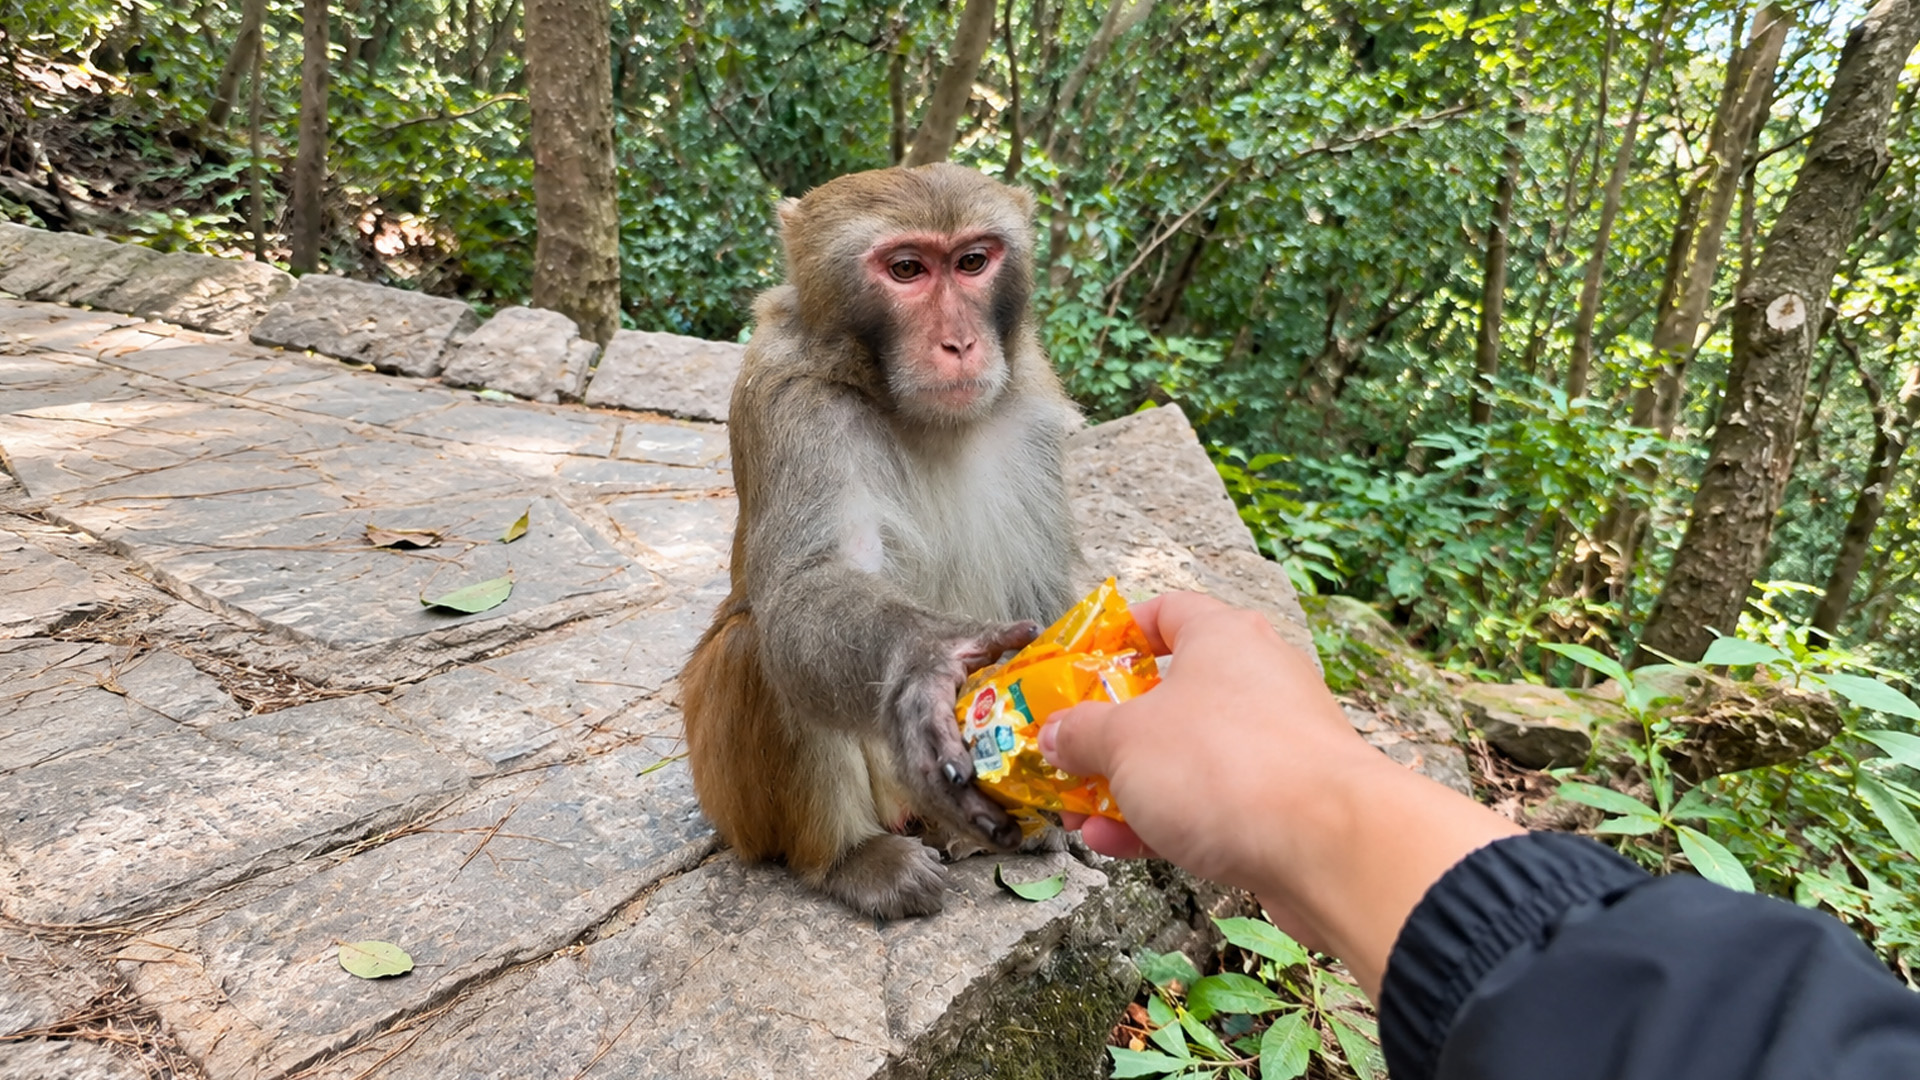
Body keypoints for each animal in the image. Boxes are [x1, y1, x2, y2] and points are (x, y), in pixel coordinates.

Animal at [678, 164, 1081, 919]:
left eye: (972, 262)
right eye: (906, 270)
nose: (960, 345)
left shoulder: (1033, 405)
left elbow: (1040, 592)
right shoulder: (792, 399)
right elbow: (810, 586)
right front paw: (924, 663)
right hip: (741, 801)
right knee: (759, 645)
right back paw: (849, 858)